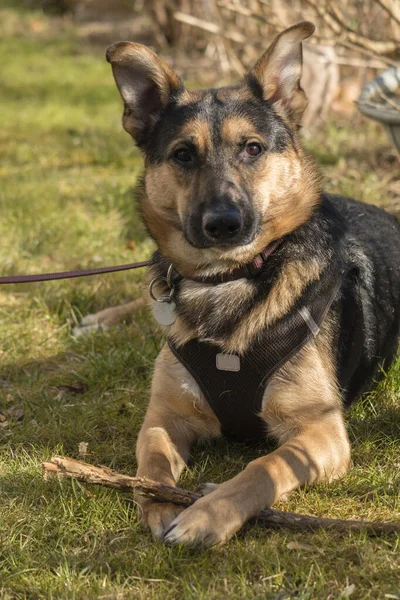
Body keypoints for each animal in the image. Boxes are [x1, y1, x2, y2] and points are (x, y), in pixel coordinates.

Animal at [104, 23, 400, 548]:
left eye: (253, 148)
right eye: (183, 154)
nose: (223, 224)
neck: (232, 278)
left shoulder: (320, 432)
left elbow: (263, 466)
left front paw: (208, 514)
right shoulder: (164, 416)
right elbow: (152, 459)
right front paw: (159, 500)